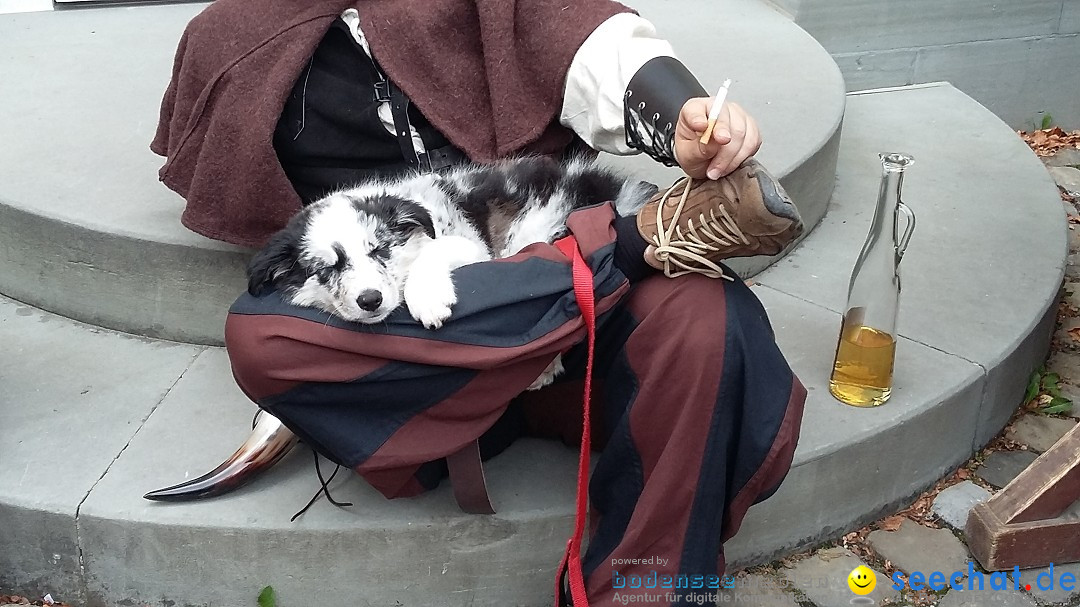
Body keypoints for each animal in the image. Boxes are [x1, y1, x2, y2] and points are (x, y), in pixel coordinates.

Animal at [247, 154, 648, 386]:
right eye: (326, 269)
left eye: (380, 250)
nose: (370, 300)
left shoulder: (471, 246)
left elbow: (434, 254)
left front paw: (427, 300)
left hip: (534, 230)